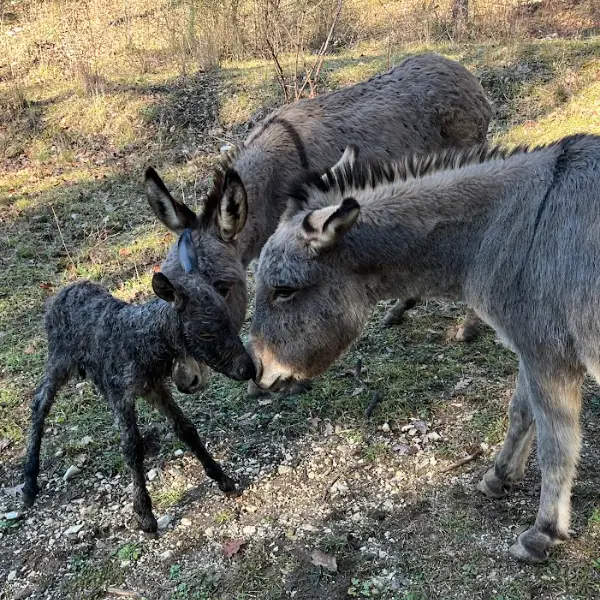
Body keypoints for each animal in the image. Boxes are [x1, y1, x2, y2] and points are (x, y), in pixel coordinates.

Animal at [22, 231, 253, 536]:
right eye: (204, 334)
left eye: (229, 318)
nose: (248, 368)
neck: (144, 343)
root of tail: (60, 294)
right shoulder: (122, 393)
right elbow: (132, 448)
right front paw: (145, 515)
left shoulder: (156, 388)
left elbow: (186, 430)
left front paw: (223, 478)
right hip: (59, 358)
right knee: (39, 403)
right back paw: (29, 483)